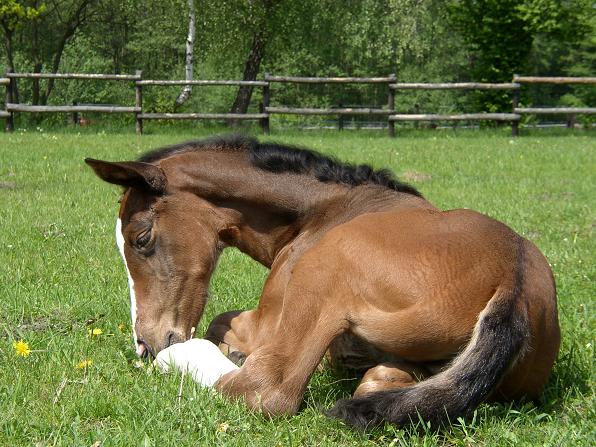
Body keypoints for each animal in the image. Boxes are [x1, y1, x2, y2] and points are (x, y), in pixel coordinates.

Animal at [85, 136, 560, 430]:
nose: (145, 344)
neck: (322, 209)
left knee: (264, 390)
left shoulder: (269, 317)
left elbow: (224, 323)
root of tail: (514, 284)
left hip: (321, 272)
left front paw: (230, 349)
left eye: (141, 238)